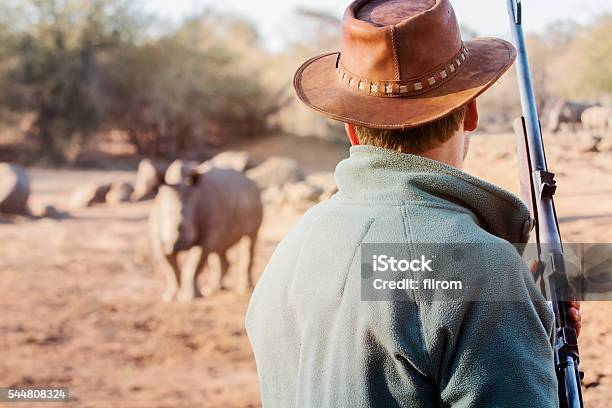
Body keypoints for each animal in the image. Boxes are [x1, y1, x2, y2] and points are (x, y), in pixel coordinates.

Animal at [151, 161, 262, 302]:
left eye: (186, 225)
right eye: (161, 221)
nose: (172, 246)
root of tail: (249, 180)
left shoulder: (205, 235)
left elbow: (193, 264)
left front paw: (188, 298)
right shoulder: (156, 236)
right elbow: (168, 267)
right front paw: (169, 297)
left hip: (255, 202)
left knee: (249, 240)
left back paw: (244, 290)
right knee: (220, 248)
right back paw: (213, 289)